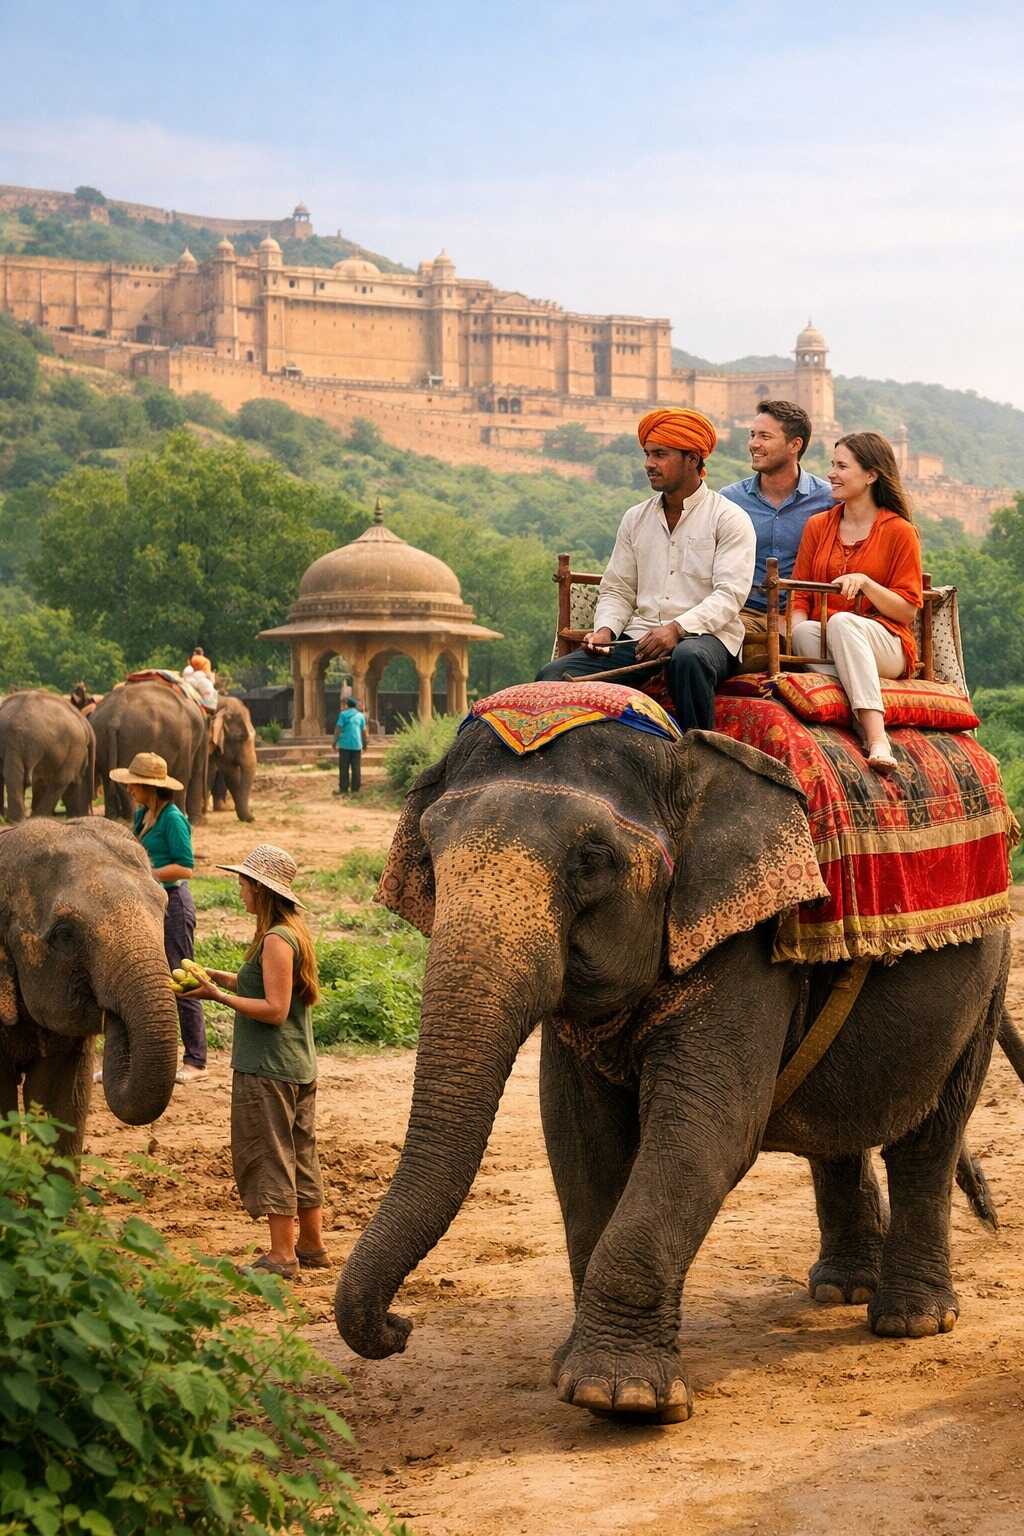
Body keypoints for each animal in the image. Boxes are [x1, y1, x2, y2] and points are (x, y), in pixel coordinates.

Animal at [92, 681, 207, 823]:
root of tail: (115, 717)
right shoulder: (185, 741)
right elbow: (185, 775)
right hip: (135, 737)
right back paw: (128, 818)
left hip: (101, 735)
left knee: (107, 777)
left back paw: (114, 818)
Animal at [334, 716, 1011, 1424]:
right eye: (429, 859)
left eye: (592, 861)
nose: (399, 1328)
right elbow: (577, 1136)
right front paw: (572, 1369)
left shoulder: (745, 938)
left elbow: (704, 1131)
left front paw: (621, 1397)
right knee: (838, 1132)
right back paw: (840, 1290)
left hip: (986, 973)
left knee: (930, 1135)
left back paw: (912, 1321)